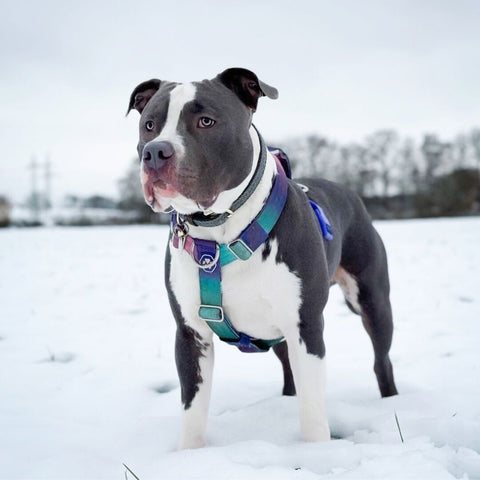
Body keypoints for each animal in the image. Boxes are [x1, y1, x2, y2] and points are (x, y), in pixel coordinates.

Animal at [126, 67, 398, 450]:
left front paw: (317, 452)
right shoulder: (191, 333)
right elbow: (193, 410)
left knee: (381, 361)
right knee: (289, 372)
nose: (154, 152)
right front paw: (188, 455)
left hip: (372, 301)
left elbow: (313, 411)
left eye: (206, 121)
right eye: (149, 125)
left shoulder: (305, 326)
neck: (220, 233)